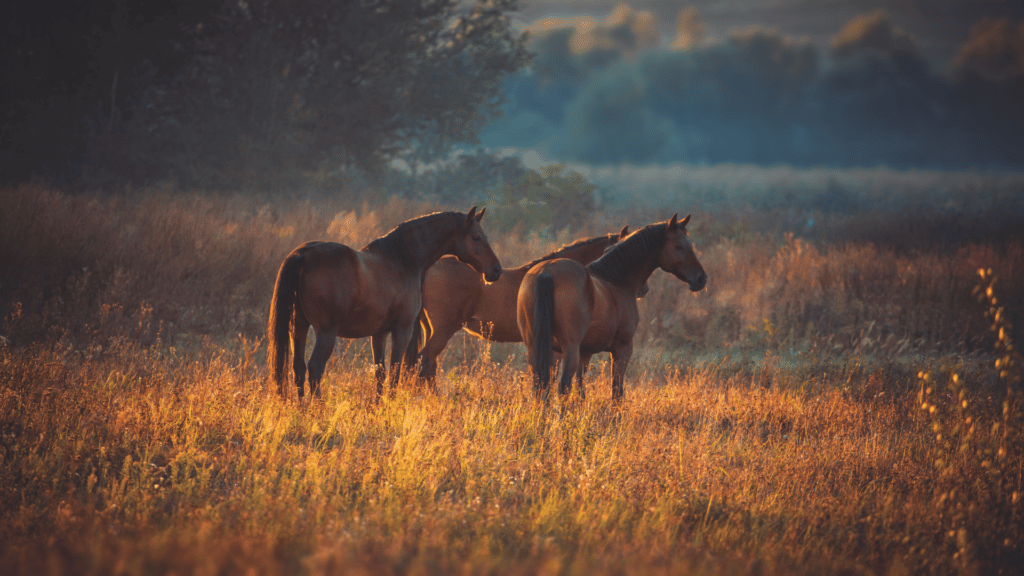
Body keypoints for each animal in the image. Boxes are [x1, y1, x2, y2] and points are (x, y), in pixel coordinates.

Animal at [268, 207, 499, 399]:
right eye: (476, 237)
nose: (496, 270)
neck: (401, 260)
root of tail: (303, 254)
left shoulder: (379, 334)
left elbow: (380, 373)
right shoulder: (402, 330)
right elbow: (395, 372)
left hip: (299, 326)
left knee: (298, 368)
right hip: (326, 333)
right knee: (315, 368)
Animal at [516, 214, 708, 399]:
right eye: (679, 246)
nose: (701, 279)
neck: (616, 281)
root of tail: (545, 272)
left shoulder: (585, 352)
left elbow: (581, 391)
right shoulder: (622, 349)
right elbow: (617, 391)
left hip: (537, 348)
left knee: (541, 386)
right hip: (569, 347)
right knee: (563, 386)